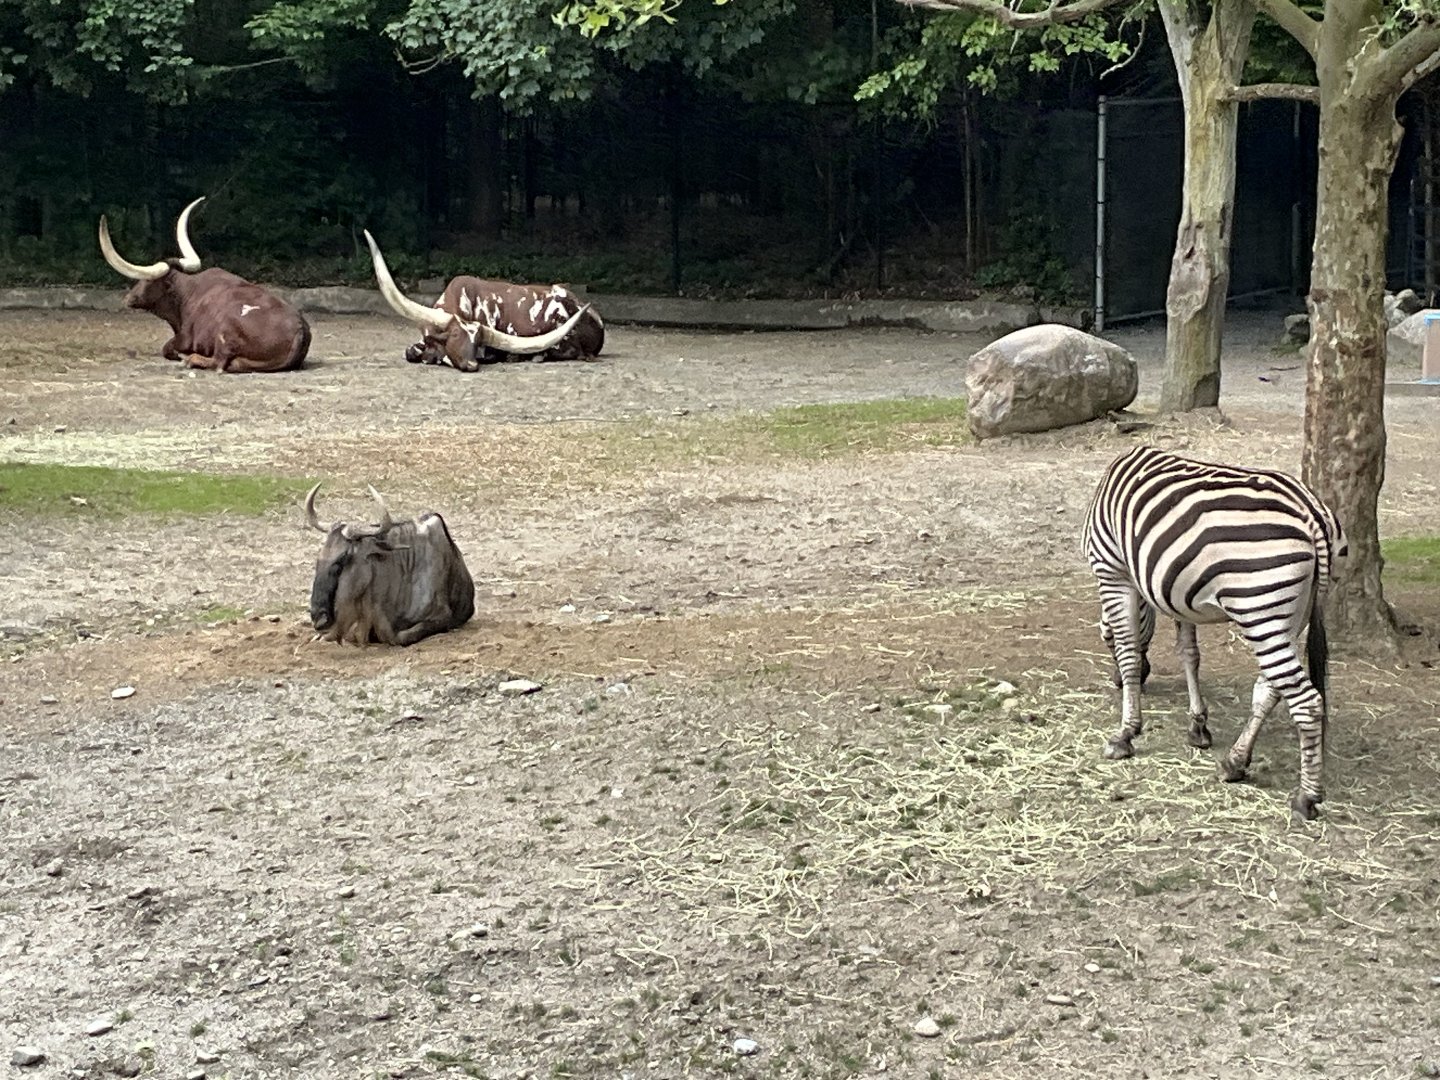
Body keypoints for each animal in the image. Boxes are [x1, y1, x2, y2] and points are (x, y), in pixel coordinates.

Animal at [1082, 445, 1347, 820]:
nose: (1115, 682)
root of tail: (1311, 512)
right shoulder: (1176, 592)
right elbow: (1189, 655)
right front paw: (1197, 726)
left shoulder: (1112, 570)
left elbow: (1129, 651)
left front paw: (1126, 734)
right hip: (1294, 613)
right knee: (1269, 690)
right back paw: (1235, 762)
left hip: (1260, 610)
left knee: (1306, 703)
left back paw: (1306, 797)